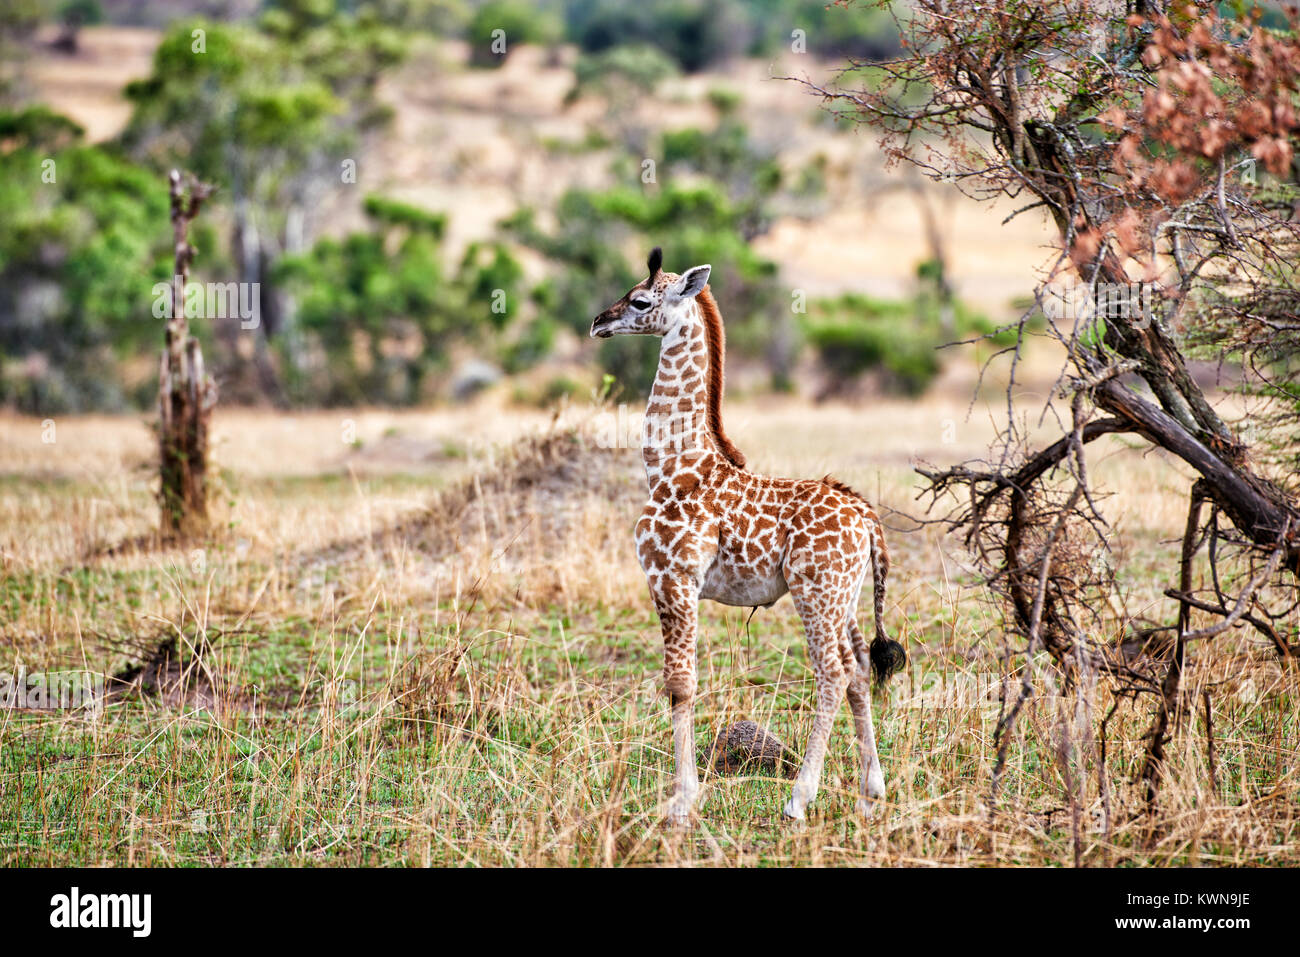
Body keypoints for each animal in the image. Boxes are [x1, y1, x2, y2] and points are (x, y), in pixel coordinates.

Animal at [592, 248, 904, 821]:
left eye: (640, 300)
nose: (599, 322)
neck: (673, 468)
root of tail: (867, 518)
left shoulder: (672, 580)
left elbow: (680, 684)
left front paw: (682, 800)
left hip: (815, 594)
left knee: (832, 675)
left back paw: (799, 800)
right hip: (846, 599)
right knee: (857, 672)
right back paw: (872, 790)